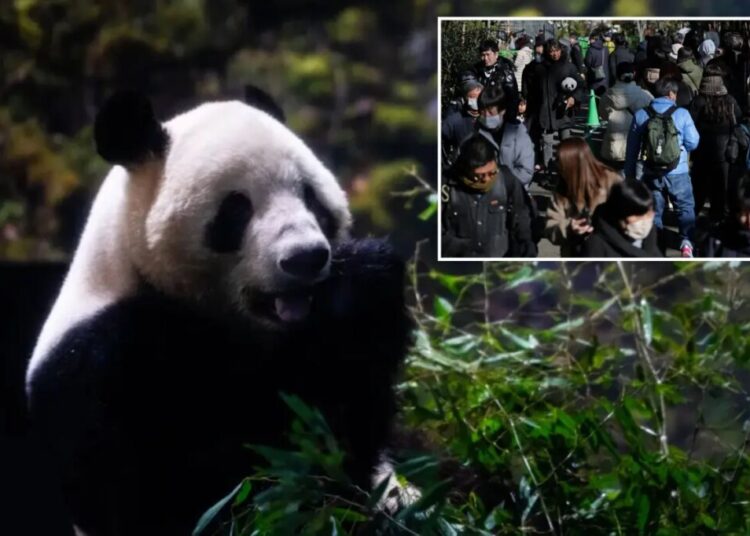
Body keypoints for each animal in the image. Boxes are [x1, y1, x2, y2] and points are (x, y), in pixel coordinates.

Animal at [25, 90, 413, 535]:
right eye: (237, 209)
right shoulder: (101, 367)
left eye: (311, 197)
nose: (305, 258)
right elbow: (192, 491)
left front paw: (361, 285)